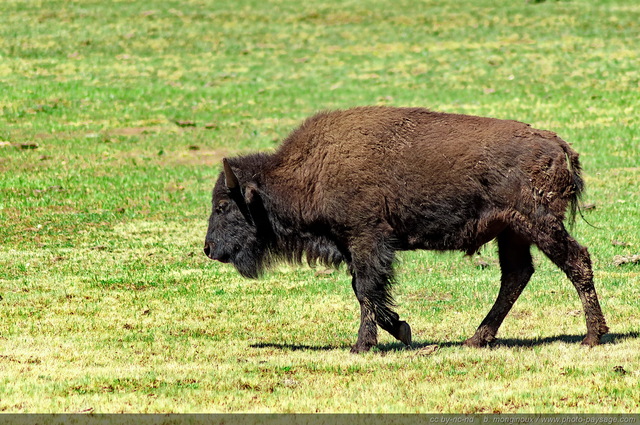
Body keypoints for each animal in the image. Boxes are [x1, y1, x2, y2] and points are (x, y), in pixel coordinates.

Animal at [202, 106, 608, 352]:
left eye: (223, 206)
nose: (208, 249)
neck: (310, 171)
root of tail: (556, 144)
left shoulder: (367, 240)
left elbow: (366, 291)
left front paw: (363, 345)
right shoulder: (356, 246)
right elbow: (364, 291)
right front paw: (400, 329)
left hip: (538, 225)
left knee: (576, 260)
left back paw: (592, 336)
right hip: (512, 233)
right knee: (517, 274)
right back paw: (475, 338)